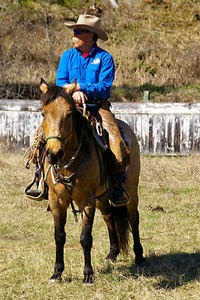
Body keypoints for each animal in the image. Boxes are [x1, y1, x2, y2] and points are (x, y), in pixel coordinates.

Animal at [37, 78, 145, 282]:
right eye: (43, 113)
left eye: (69, 113)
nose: (54, 154)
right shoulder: (57, 201)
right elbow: (59, 236)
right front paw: (57, 272)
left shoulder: (86, 201)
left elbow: (85, 238)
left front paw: (88, 274)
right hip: (102, 196)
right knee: (109, 216)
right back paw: (112, 253)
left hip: (131, 190)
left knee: (134, 219)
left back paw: (140, 256)